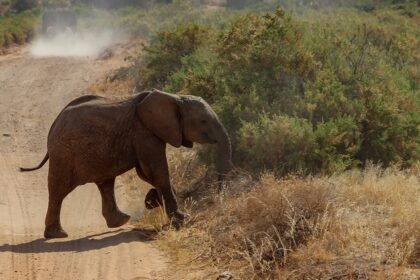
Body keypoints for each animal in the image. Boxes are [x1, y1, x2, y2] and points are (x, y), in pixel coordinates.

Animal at [20, 89, 233, 238]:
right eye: (203, 121)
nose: (218, 198)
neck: (175, 96)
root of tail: (53, 126)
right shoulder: (144, 132)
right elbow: (156, 171)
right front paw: (181, 219)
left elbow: (146, 173)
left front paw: (152, 201)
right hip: (63, 154)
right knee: (59, 190)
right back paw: (58, 234)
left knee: (105, 183)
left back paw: (120, 221)